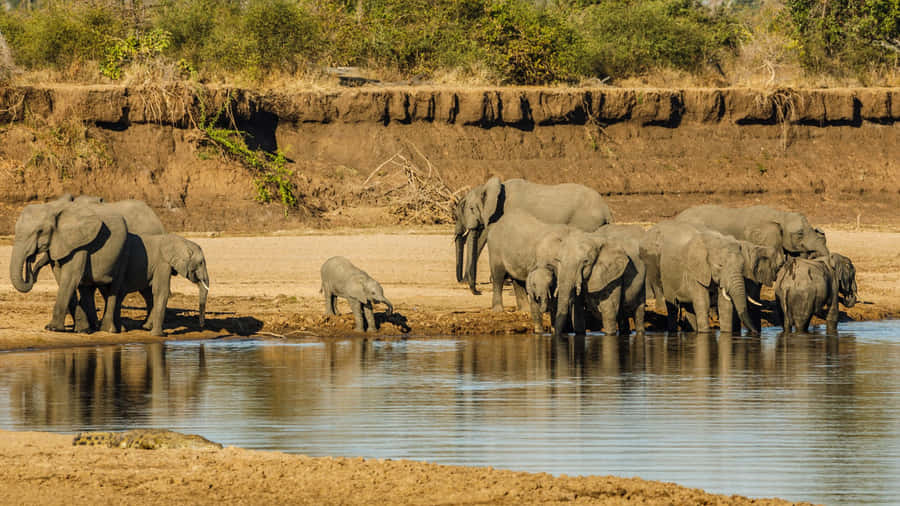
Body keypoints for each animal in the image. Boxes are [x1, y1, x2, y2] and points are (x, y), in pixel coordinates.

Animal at [9, 197, 128, 333]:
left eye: (40, 231)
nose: (30, 258)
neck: (52, 207)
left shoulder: (79, 242)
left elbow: (70, 277)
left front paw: (52, 328)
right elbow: (61, 277)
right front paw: (81, 329)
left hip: (123, 252)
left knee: (114, 287)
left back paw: (109, 330)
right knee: (88, 288)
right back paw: (91, 329)